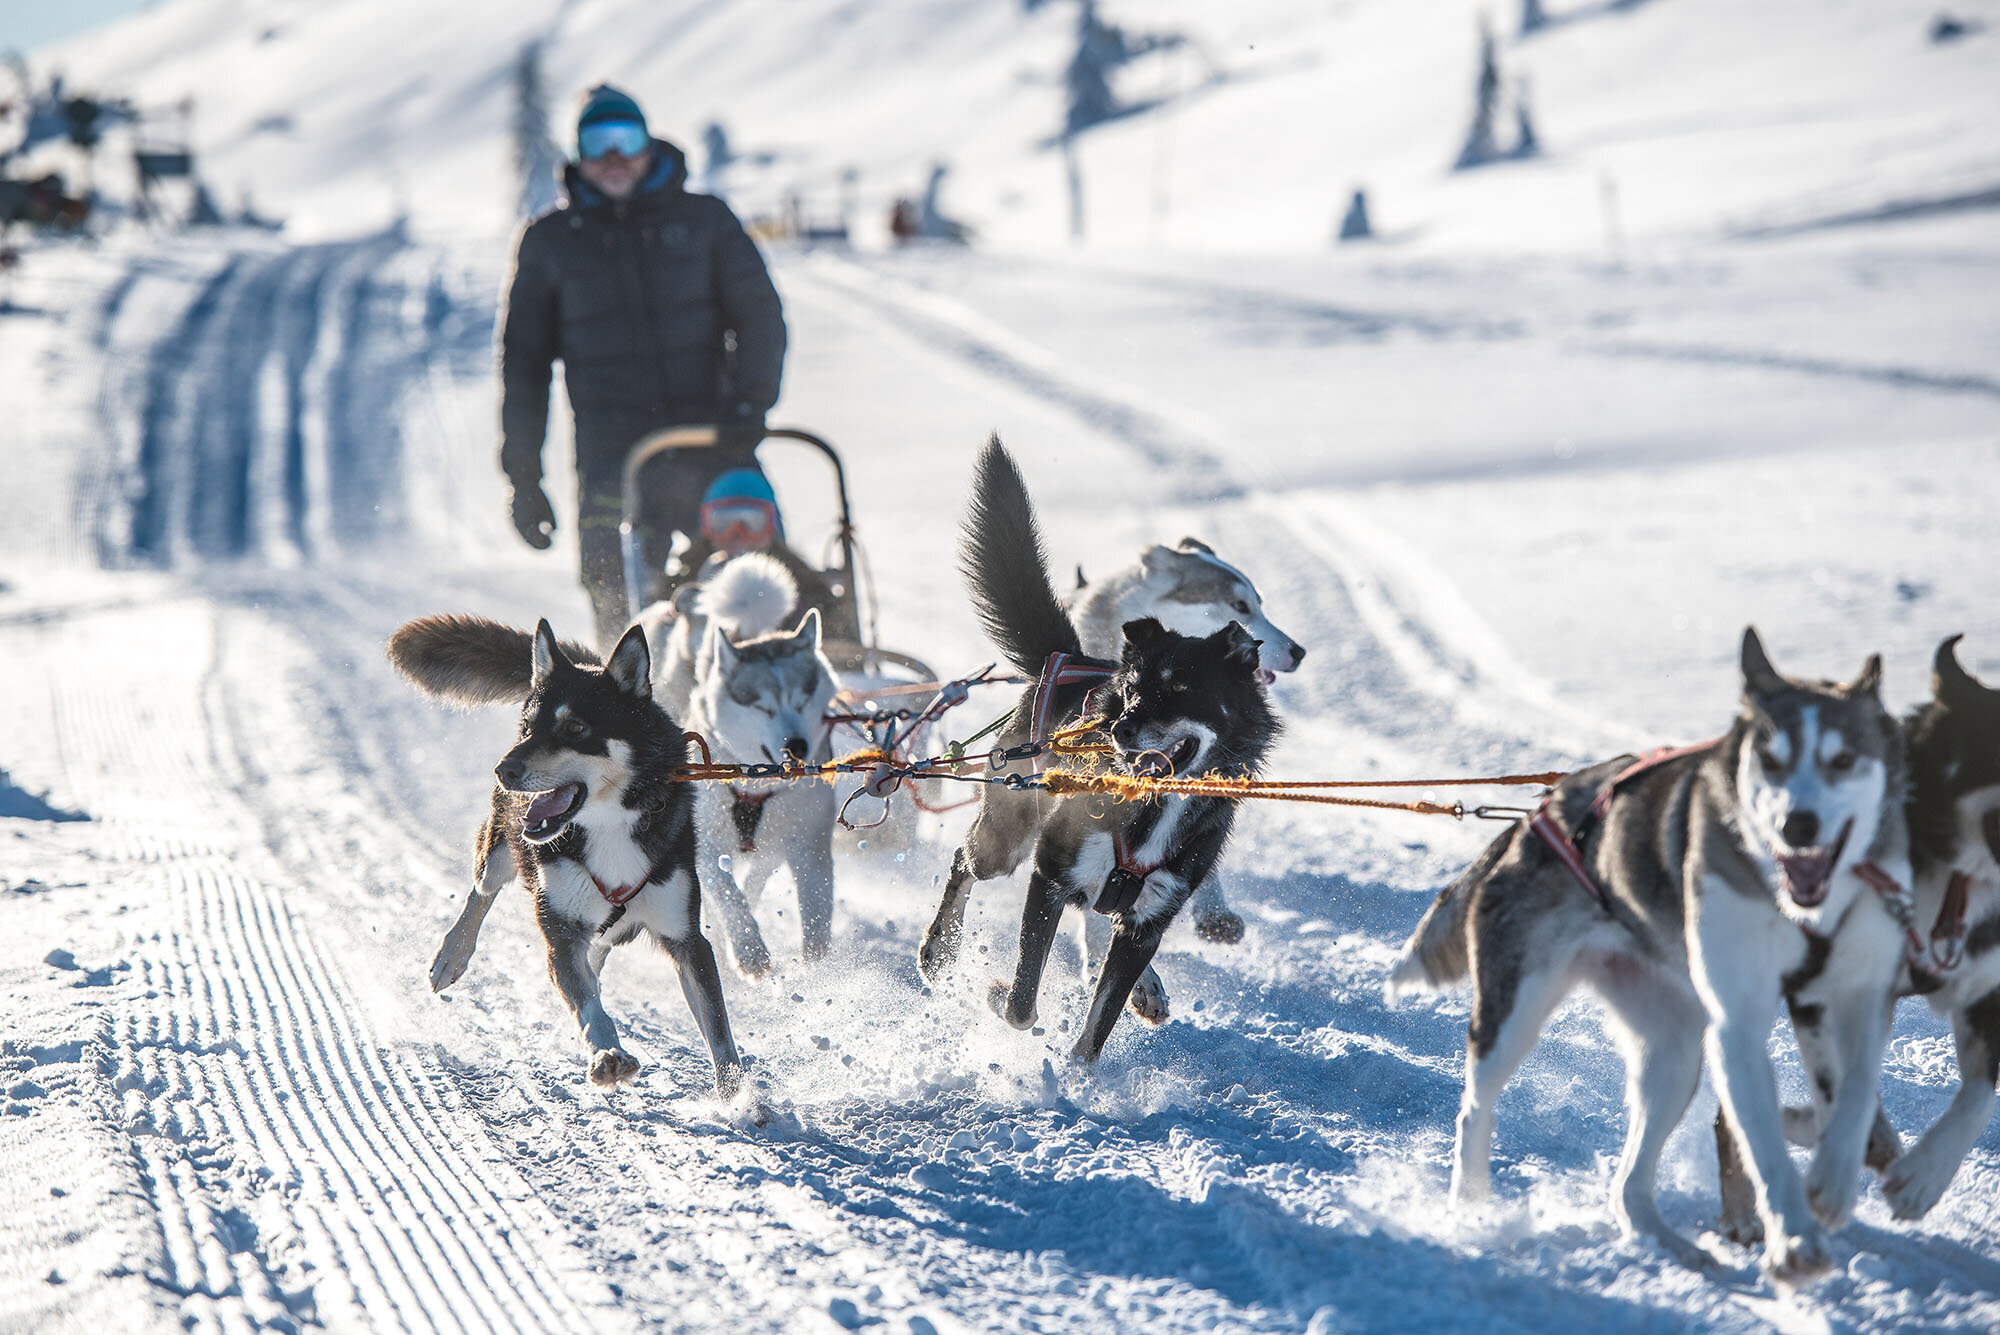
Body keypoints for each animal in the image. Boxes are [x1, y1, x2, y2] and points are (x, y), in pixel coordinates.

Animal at [384, 615, 744, 1095]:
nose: (503, 770)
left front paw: (742, 1100)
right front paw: (608, 1055)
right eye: (528, 727)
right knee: (482, 891)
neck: (609, 823)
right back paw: (451, 956)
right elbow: (588, 1007)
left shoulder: (686, 939)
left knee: (595, 956)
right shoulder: (561, 931)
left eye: (575, 728)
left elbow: (720, 1034)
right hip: (501, 848)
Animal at [916, 437, 1272, 1063]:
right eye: (1131, 690)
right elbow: (1021, 1004)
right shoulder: (1050, 875)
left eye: (1181, 689)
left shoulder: (1149, 921)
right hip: (1006, 838)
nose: (1122, 728)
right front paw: (999, 995)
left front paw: (1082, 1074)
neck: (1149, 811)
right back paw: (940, 949)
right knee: (965, 861)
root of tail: (1070, 657)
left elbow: (1096, 1028)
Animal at [1392, 635, 1904, 1279]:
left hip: (1674, 1052)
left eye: (1843, 760)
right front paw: (1794, 1234)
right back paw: (1472, 1206)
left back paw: (1670, 1242)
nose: (1799, 825)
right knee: (1475, 1109)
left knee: (1629, 1188)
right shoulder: (1738, 1020)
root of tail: (1532, 821)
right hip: (1515, 1014)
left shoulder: (1852, 998)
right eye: (1772, 760)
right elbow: (1766, 1136)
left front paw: (1841, 1166)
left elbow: (1854, 1096)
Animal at [1712, 635, 2000, 1231]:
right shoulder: (1823, 981)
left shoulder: (1984, 987)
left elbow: (1979, 1094)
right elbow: (1843, 1091)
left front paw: (1923, 1177)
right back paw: (1744, 1211)